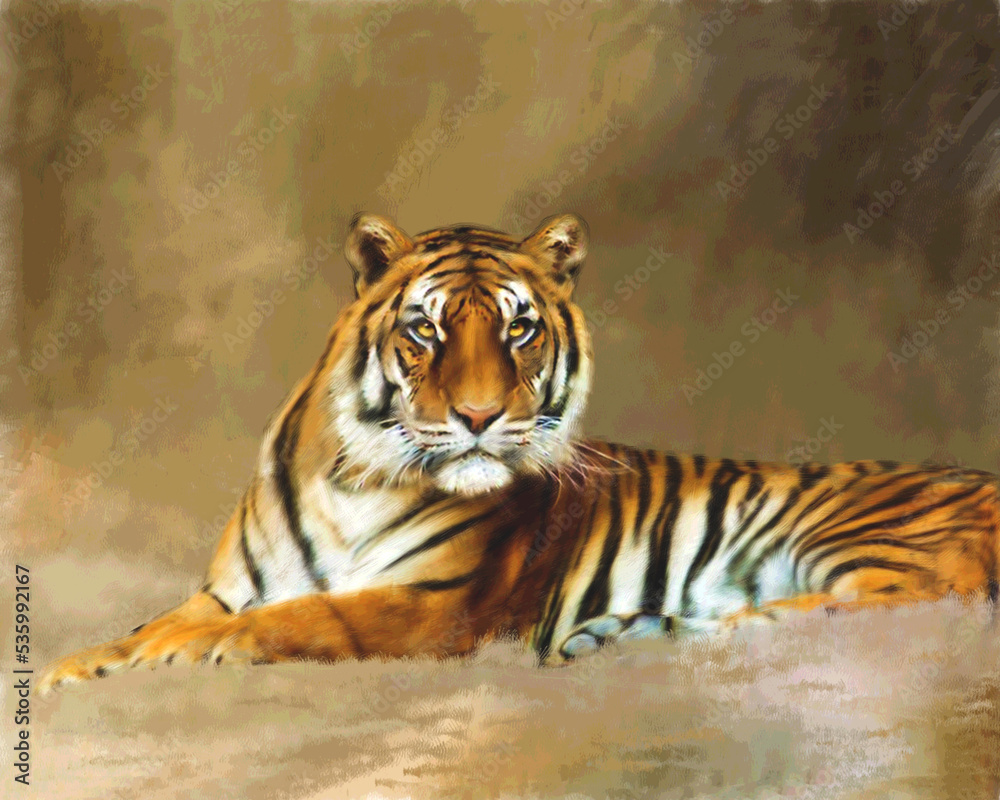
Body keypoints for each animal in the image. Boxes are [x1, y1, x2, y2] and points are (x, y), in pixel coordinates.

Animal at [38, 212, 1000, 695]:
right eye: (426, 329)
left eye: (519, 329)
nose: (477, 415)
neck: (353, 475)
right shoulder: (221, 588)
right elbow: (154, 621)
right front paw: (70, 668)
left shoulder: (434, 605)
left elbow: (303, 618)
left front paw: (185, 656)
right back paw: (620, 632)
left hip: (857, 533)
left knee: (904, 603)